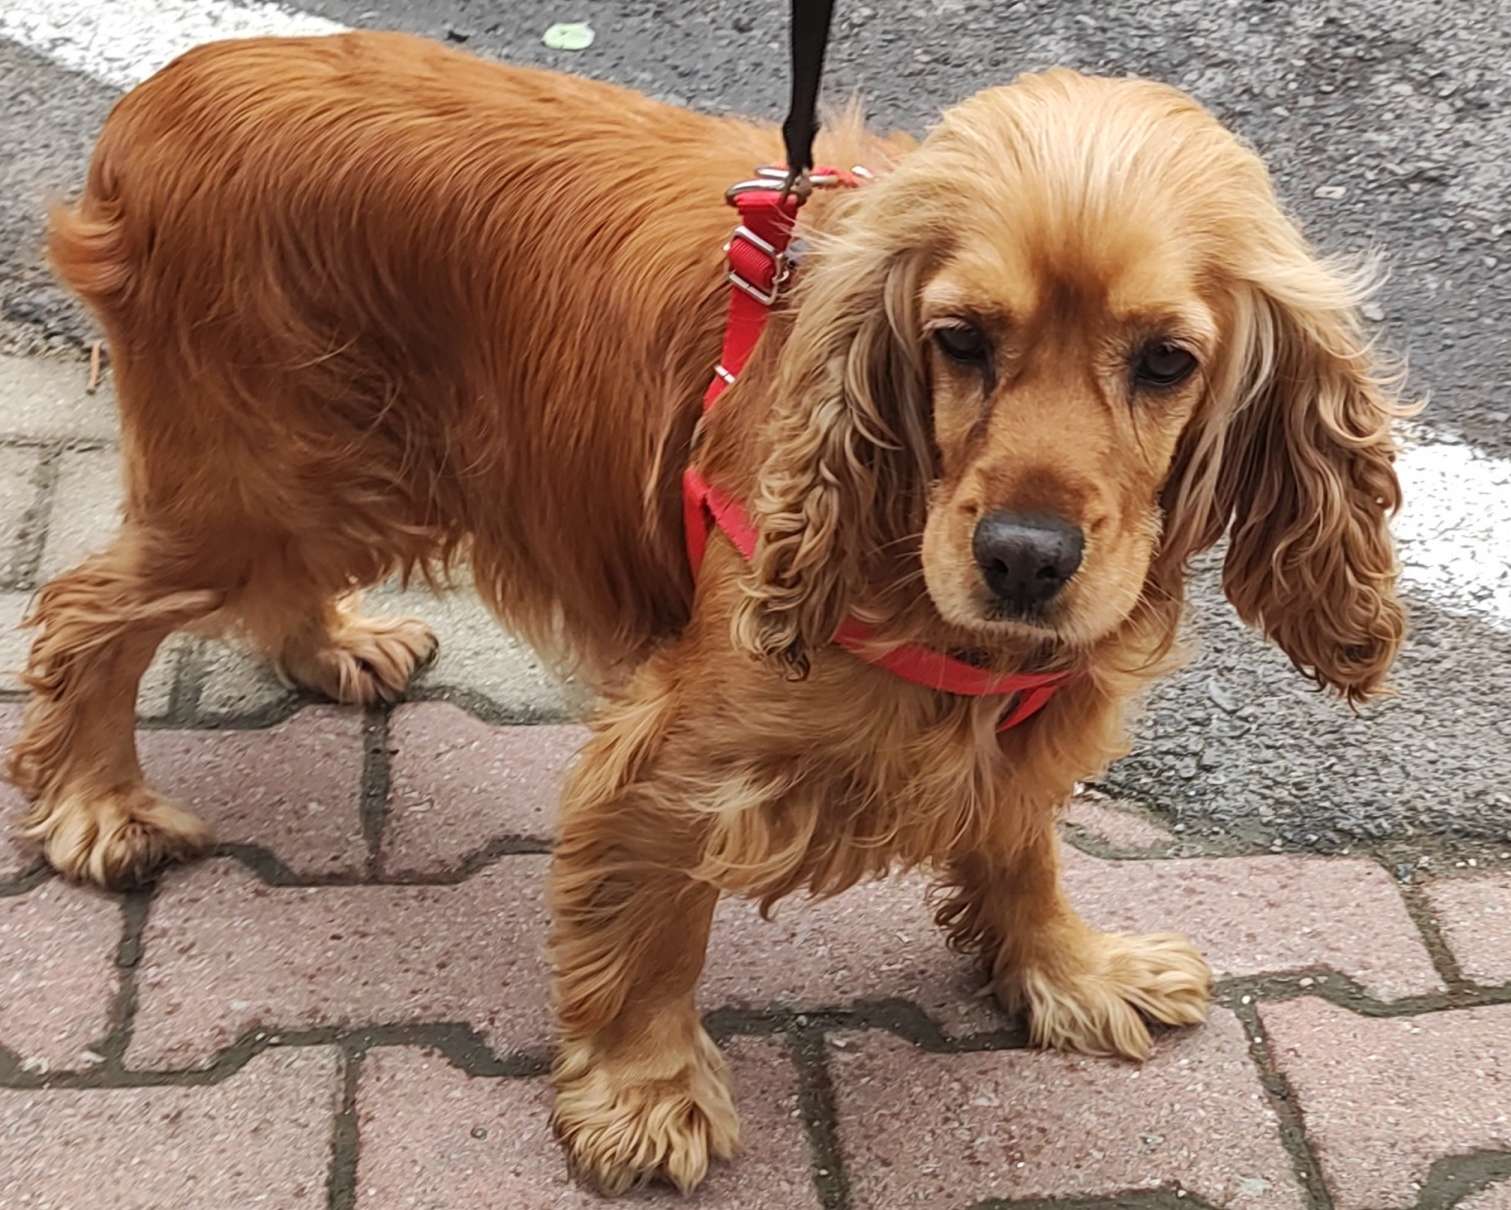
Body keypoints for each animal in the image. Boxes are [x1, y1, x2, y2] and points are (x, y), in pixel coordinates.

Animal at [13, 30, 1406, 1194]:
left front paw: (1067, 969)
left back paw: (336, 642)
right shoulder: (682, 749)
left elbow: (1019, 843)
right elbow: (652, 926)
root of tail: (160, 97)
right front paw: (644, 1097)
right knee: (84, 610)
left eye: (1164, 360)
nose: (1021, 559)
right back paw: (100, 804)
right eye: (959, 338)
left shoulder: (1018, 708)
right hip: (267, 480)